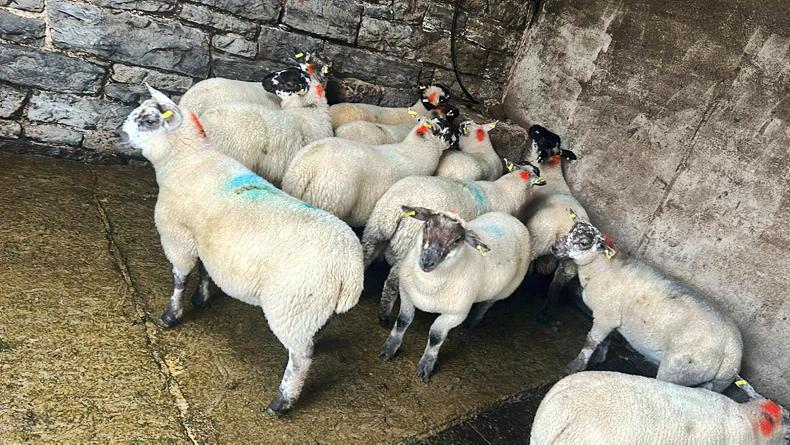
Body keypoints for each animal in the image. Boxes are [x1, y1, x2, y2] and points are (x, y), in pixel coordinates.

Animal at [117, 85, 364, 416]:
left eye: (147, 120)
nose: (119, 133)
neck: (186, 159)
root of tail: (350, 267)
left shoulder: (178, 235)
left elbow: (180, 277)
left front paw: (171, 316)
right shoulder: (208, 241)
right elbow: (205, 270)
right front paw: (202, 298)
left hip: (293, 304)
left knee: (300, 359)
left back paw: (281, 403)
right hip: (311, 308)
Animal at [362, 161, 546, 323]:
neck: (507, 192)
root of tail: (393, 206)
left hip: (374, 231)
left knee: (365, 256)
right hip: (407, 245)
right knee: (392, 282)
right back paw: (384, 316)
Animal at [380, 208, 532, 381]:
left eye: (457, 240)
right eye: (427, 225)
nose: (427, 261)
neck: (427, 285)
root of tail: (513, 219)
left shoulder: (456, 314)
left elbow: (436, 337)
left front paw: (426, 365)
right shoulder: (406, 294)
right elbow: (402, 321)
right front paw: (389, 348)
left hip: (505, 290)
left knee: (487, 303)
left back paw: (473, 321)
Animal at [517, 124, 585, 323]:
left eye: (540, 136)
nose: (533, 126)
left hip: (537, 239)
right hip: (569, 266)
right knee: (555, 289)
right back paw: (544, 316)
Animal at [550, 215, 743, 391]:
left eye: (583, 242)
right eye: (570, 230)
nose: (554, 247)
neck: (603, 268)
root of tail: (733, 352)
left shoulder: (605, 315)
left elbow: (591, 342)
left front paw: (576, 365)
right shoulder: (613, 317)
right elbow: (607, 339)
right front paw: (599, 359)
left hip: (678, 368)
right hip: (709, 382)